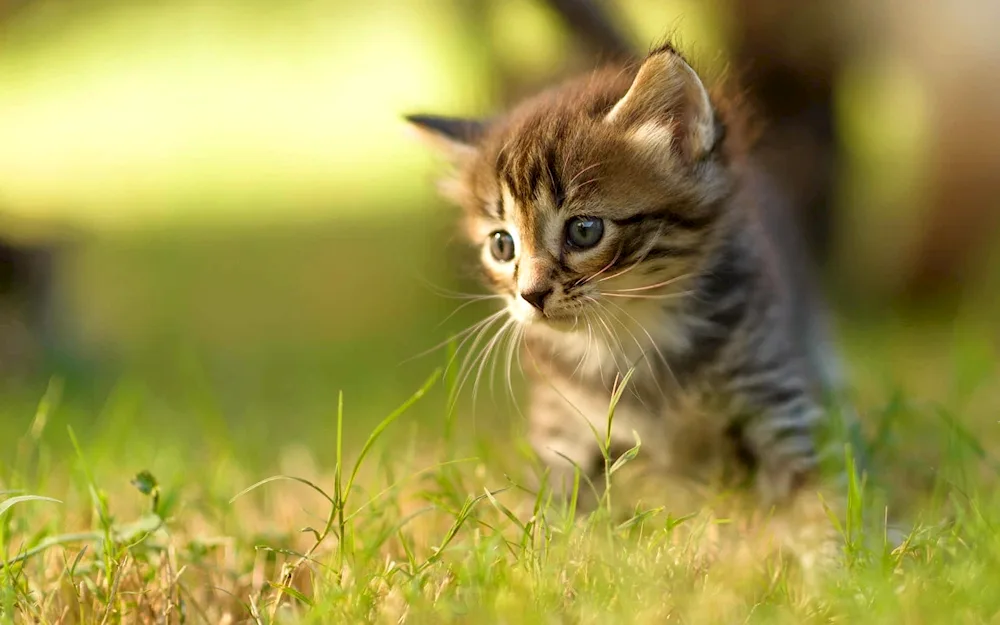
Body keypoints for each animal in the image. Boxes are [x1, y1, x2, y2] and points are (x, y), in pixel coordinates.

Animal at [410, 45, 856, 516]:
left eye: (584, 230)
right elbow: (551, 508)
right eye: (502, 245)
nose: (530, 295)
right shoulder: (560, 421)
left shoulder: (771, 388)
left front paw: (814, 531)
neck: (628, 339)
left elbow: (808, 491)